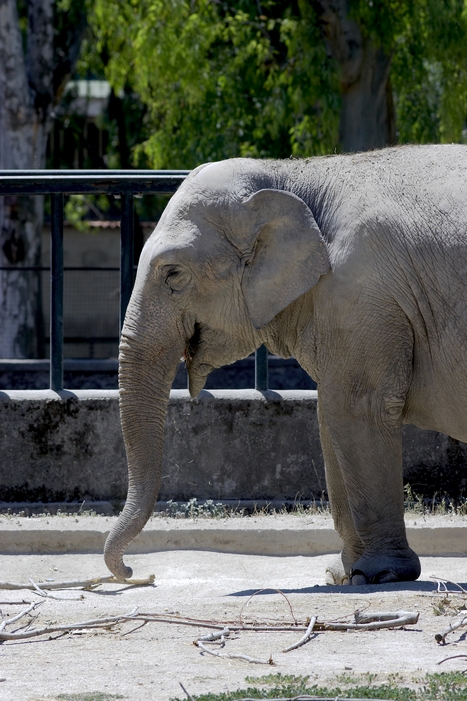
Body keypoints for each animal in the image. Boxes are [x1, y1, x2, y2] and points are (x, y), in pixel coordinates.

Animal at [104, 144, 467, 585]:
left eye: (173, 273)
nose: (136, 572)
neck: (293, 175)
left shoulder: (361, 295)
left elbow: (359, 408)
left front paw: (379, 576)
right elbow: (330, 416)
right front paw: (342, 576)